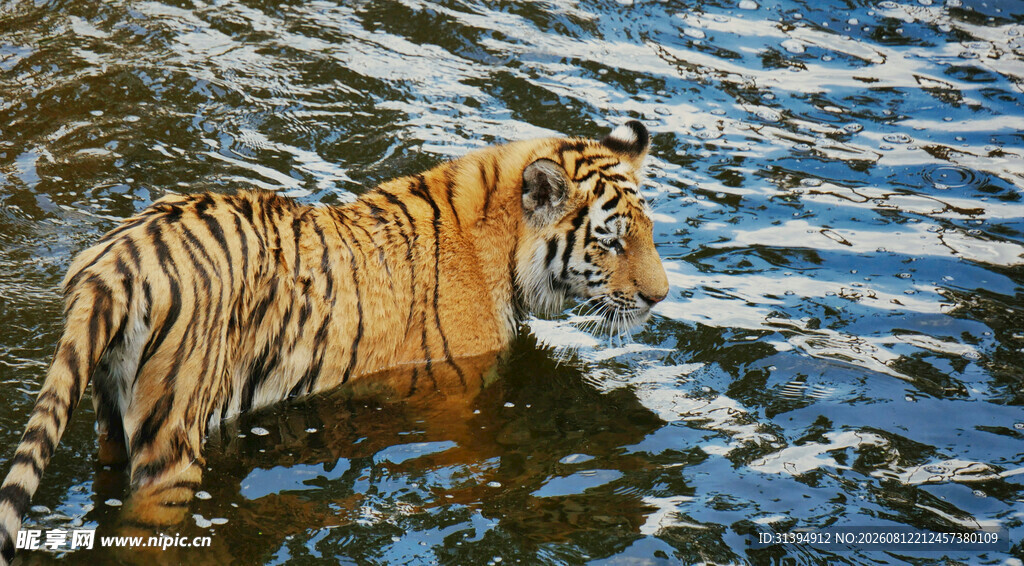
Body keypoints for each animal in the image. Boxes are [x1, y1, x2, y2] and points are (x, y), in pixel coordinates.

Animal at [0, 120, 669, 563]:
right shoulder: (458, 397)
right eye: (610, 241)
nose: (661, 297)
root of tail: (116, 261)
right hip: (175, 434)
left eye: (649, 232)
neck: (500, 247)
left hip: (109, 413)